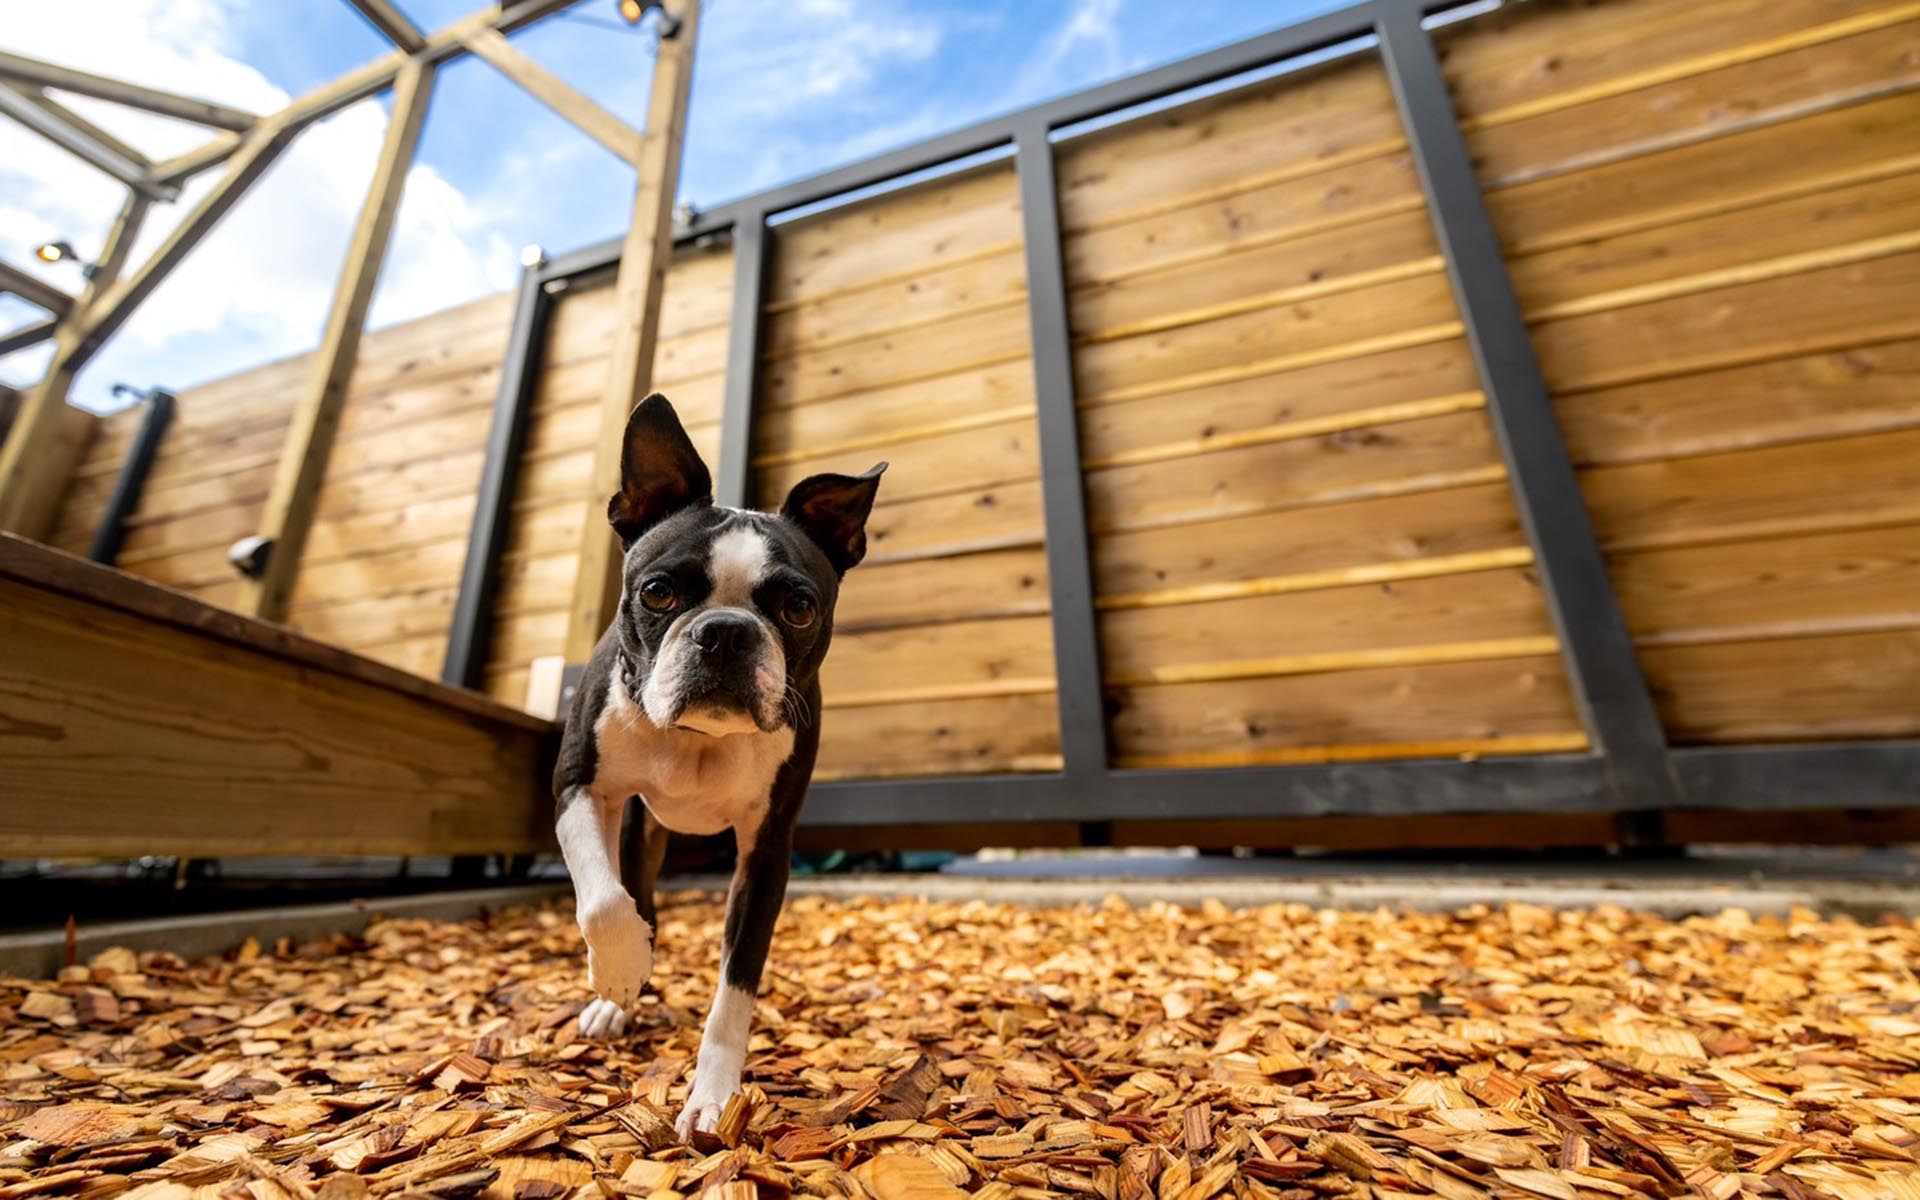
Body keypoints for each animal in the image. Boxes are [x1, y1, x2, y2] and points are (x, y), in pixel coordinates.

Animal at [556, 395, 883, 1144]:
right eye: (657, 593)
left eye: (799, 607)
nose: (726, 631)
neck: (699, 737)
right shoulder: (580, 786)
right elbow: (603, 899)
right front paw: (620, 974)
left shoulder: (765, 854)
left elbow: (735, 988)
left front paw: (712, 1097)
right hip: (638, 827)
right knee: (633, 892)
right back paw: (621, 992)